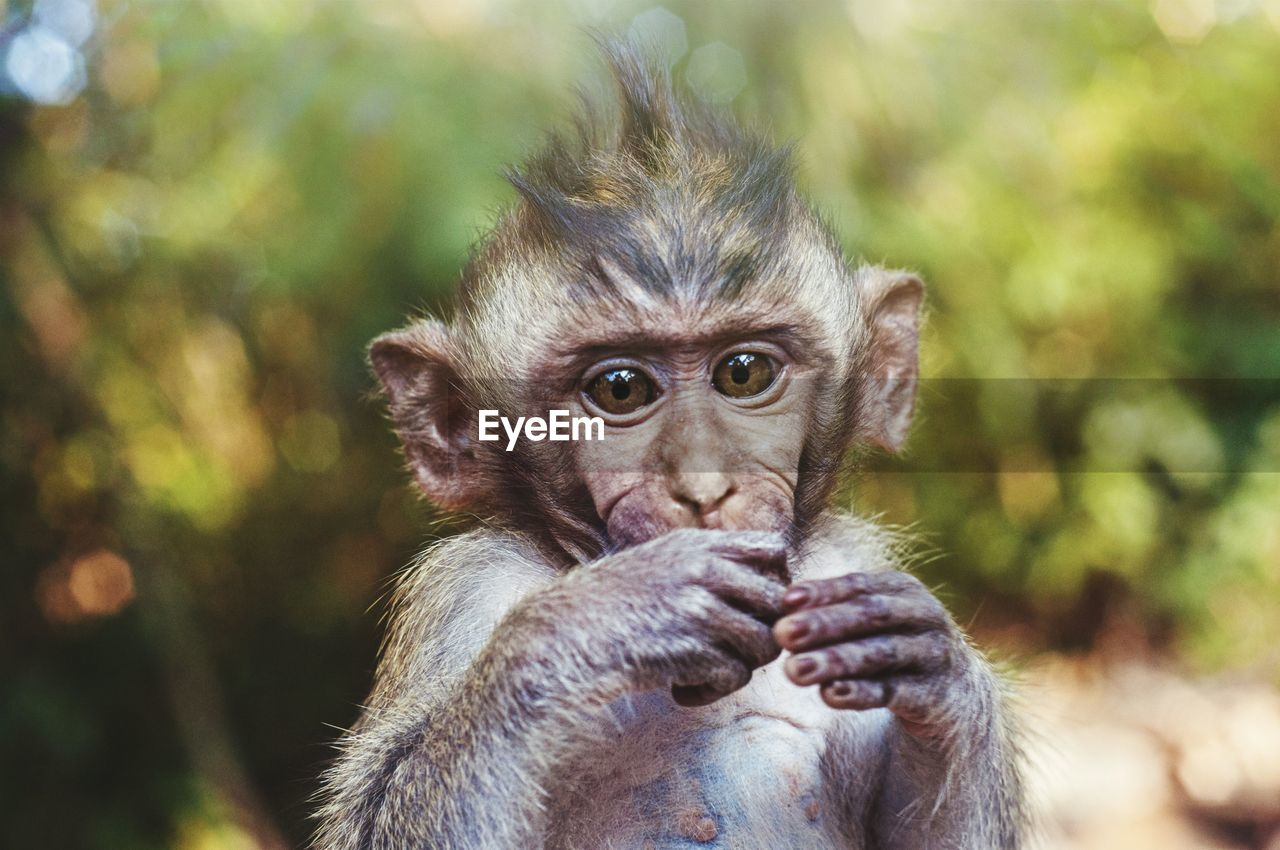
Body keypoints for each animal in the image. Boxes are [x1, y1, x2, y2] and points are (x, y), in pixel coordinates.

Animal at [312, 43, 1029, 850]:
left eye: (744, 372)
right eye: (620, 389)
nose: (703, 486)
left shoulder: (850, 564)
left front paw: (939, 668)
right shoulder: (465, 588)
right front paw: (609, 617)